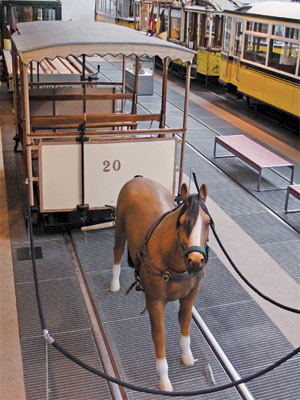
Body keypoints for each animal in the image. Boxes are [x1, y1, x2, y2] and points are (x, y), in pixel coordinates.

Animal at [109, 177, 210, 390]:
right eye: (182, 223)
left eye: (208, 222)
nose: (196, 261)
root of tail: (139, 178)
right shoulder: (154, 301)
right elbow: (159, 334)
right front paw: (164, 379)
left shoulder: (191, 293)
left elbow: (185, 320)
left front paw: (187, 355)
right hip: (120, 227)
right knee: (117, 250)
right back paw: (114, 283)